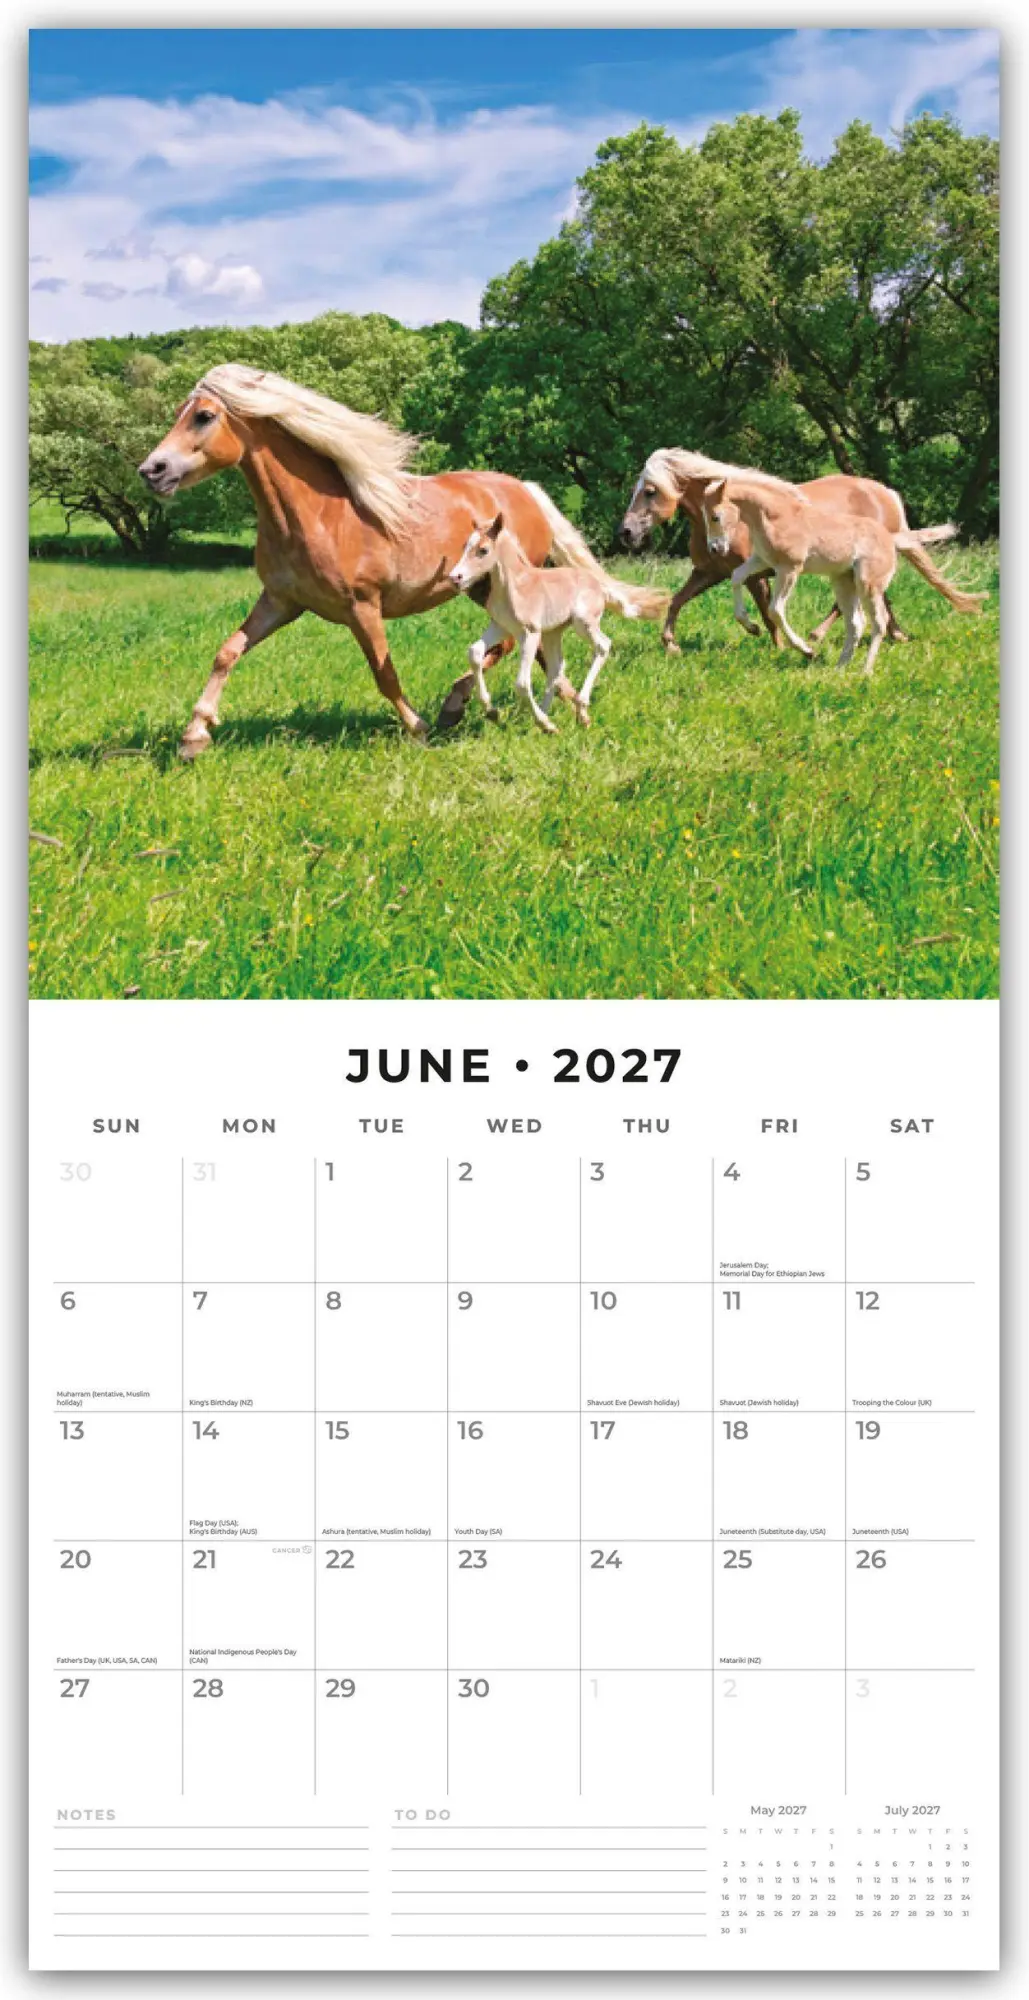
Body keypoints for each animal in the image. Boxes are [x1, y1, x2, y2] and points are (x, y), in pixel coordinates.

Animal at [449, 512, 668, 731]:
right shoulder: (501, 627)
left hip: (582, 623)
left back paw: (576, 710)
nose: (454, 577)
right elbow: (474, 653)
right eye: (465, 546)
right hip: (552, 632)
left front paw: (544, 725)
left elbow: (522, 683)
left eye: (483, 550)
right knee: (556, 667)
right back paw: (548, 716)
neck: (515, 586)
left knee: (603, 645)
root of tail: (600, 586)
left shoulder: (530, 632)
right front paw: (492, 711)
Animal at [619, 448, 983, 653]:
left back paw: (819, 634)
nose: (626, 532)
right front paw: (671, 644)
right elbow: (677, 601)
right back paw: (895, 635)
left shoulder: (759, 574)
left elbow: (768, 613)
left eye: (649, 491)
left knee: (852, 601)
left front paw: (776, 644)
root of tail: (887, 494)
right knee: (877, 597)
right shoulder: (709, 572)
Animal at [698, 467, 971, 676]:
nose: (714, 548)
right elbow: (737, 577)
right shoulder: (761, 561)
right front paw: (750, 625)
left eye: (715, 516)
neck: (776, 517)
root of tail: (891, 538)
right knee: (857, 623)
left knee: (878, 622)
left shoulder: (789, 569)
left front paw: (806, 650)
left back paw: (865, 671)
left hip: (868, 584)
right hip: (843, 582)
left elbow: (776, 610)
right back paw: (840, 667)